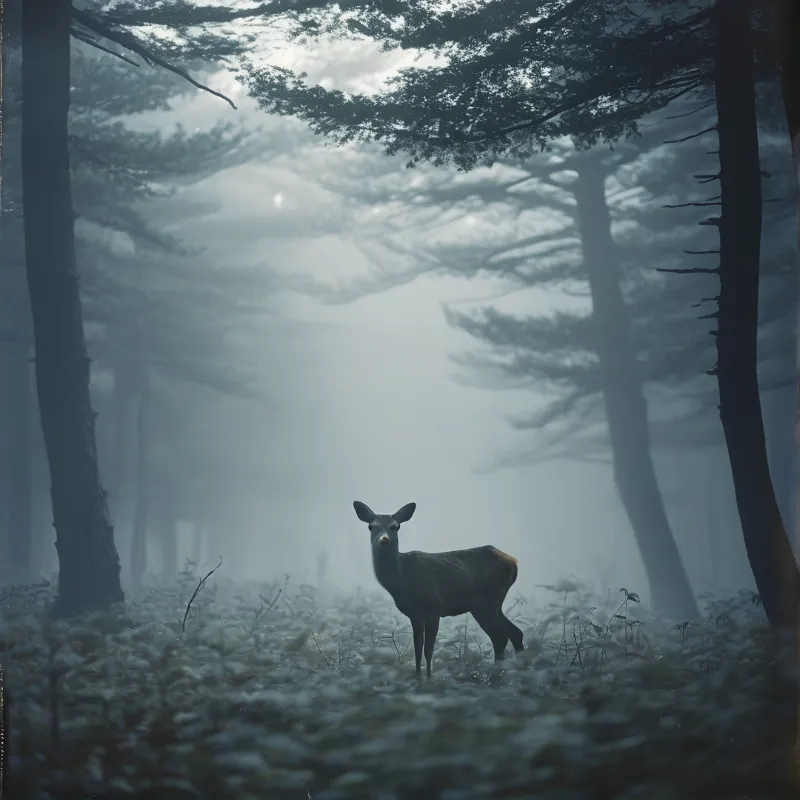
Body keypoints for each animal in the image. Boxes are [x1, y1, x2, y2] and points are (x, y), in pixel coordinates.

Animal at [353, 500, 524, 678]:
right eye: (371, 526)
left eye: (396, 526)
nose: (384, 540)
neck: (402, 580)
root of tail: (513, 562)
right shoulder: (415, 614)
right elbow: (417, 650)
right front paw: (418, 678)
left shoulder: (434, 608)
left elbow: (428, 651)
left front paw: (429, 678)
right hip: (483, 606)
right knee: (510, 634)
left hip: (490, 599)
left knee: (502, 635)